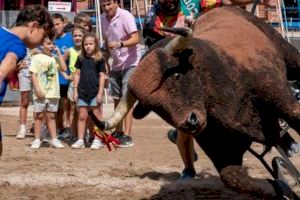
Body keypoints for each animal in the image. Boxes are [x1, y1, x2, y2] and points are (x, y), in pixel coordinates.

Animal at [91, 6, 300, 198]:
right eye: (153, 106)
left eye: (176, 75)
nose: (190, 121)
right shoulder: (219, 146)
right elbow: (234, 178)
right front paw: (283, 186)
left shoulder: (277, 94)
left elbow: (295, 115)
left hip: (289, 56)